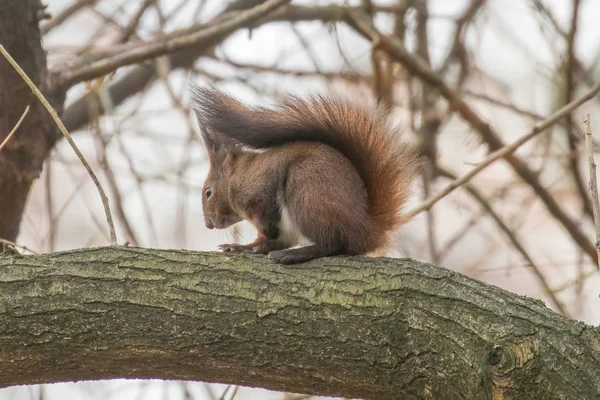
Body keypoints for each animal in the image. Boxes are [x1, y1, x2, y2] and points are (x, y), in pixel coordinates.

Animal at [193, 86, 422, 264]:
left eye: (208, 192)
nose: (209, 225)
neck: (238, 175)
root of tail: (368, 228)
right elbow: (264, 242)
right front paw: (241, 246)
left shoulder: (260, 187)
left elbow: (265, 212)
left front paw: (266, 229)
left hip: (307, 192)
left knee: (333, 242)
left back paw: (295, 254)